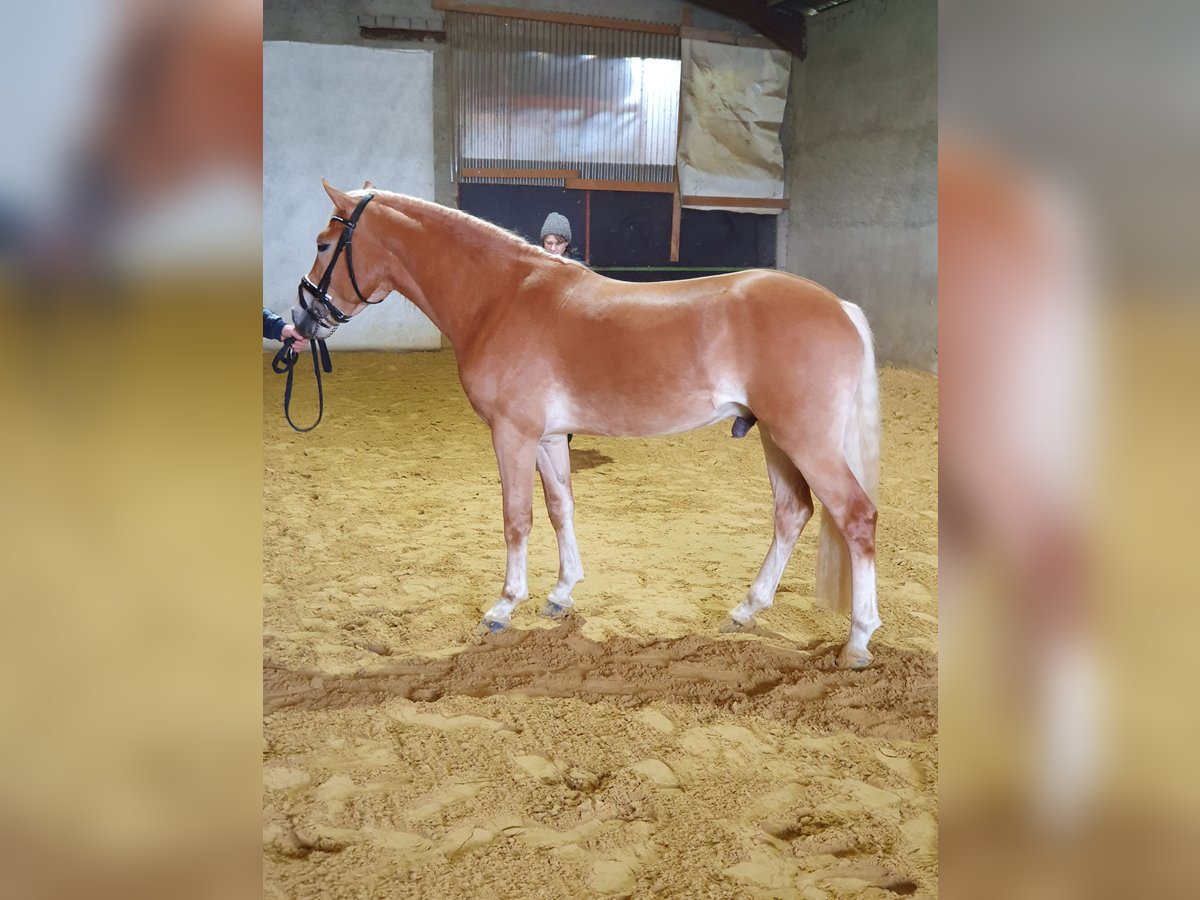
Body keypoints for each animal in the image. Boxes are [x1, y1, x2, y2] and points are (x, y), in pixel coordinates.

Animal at [292, 181, 883, 672]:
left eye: (323, 245)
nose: (302, 321)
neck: (501, 296)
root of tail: (840, 307)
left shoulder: (513, 433)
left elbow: (517, 518)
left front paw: (504, 606)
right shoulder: (550, 438)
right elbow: (560, 508)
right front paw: (561, 593)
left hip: (803, 440)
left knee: (856, 516)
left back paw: (857, 641)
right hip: (775, 438)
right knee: (792, 513)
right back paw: (745, 610)